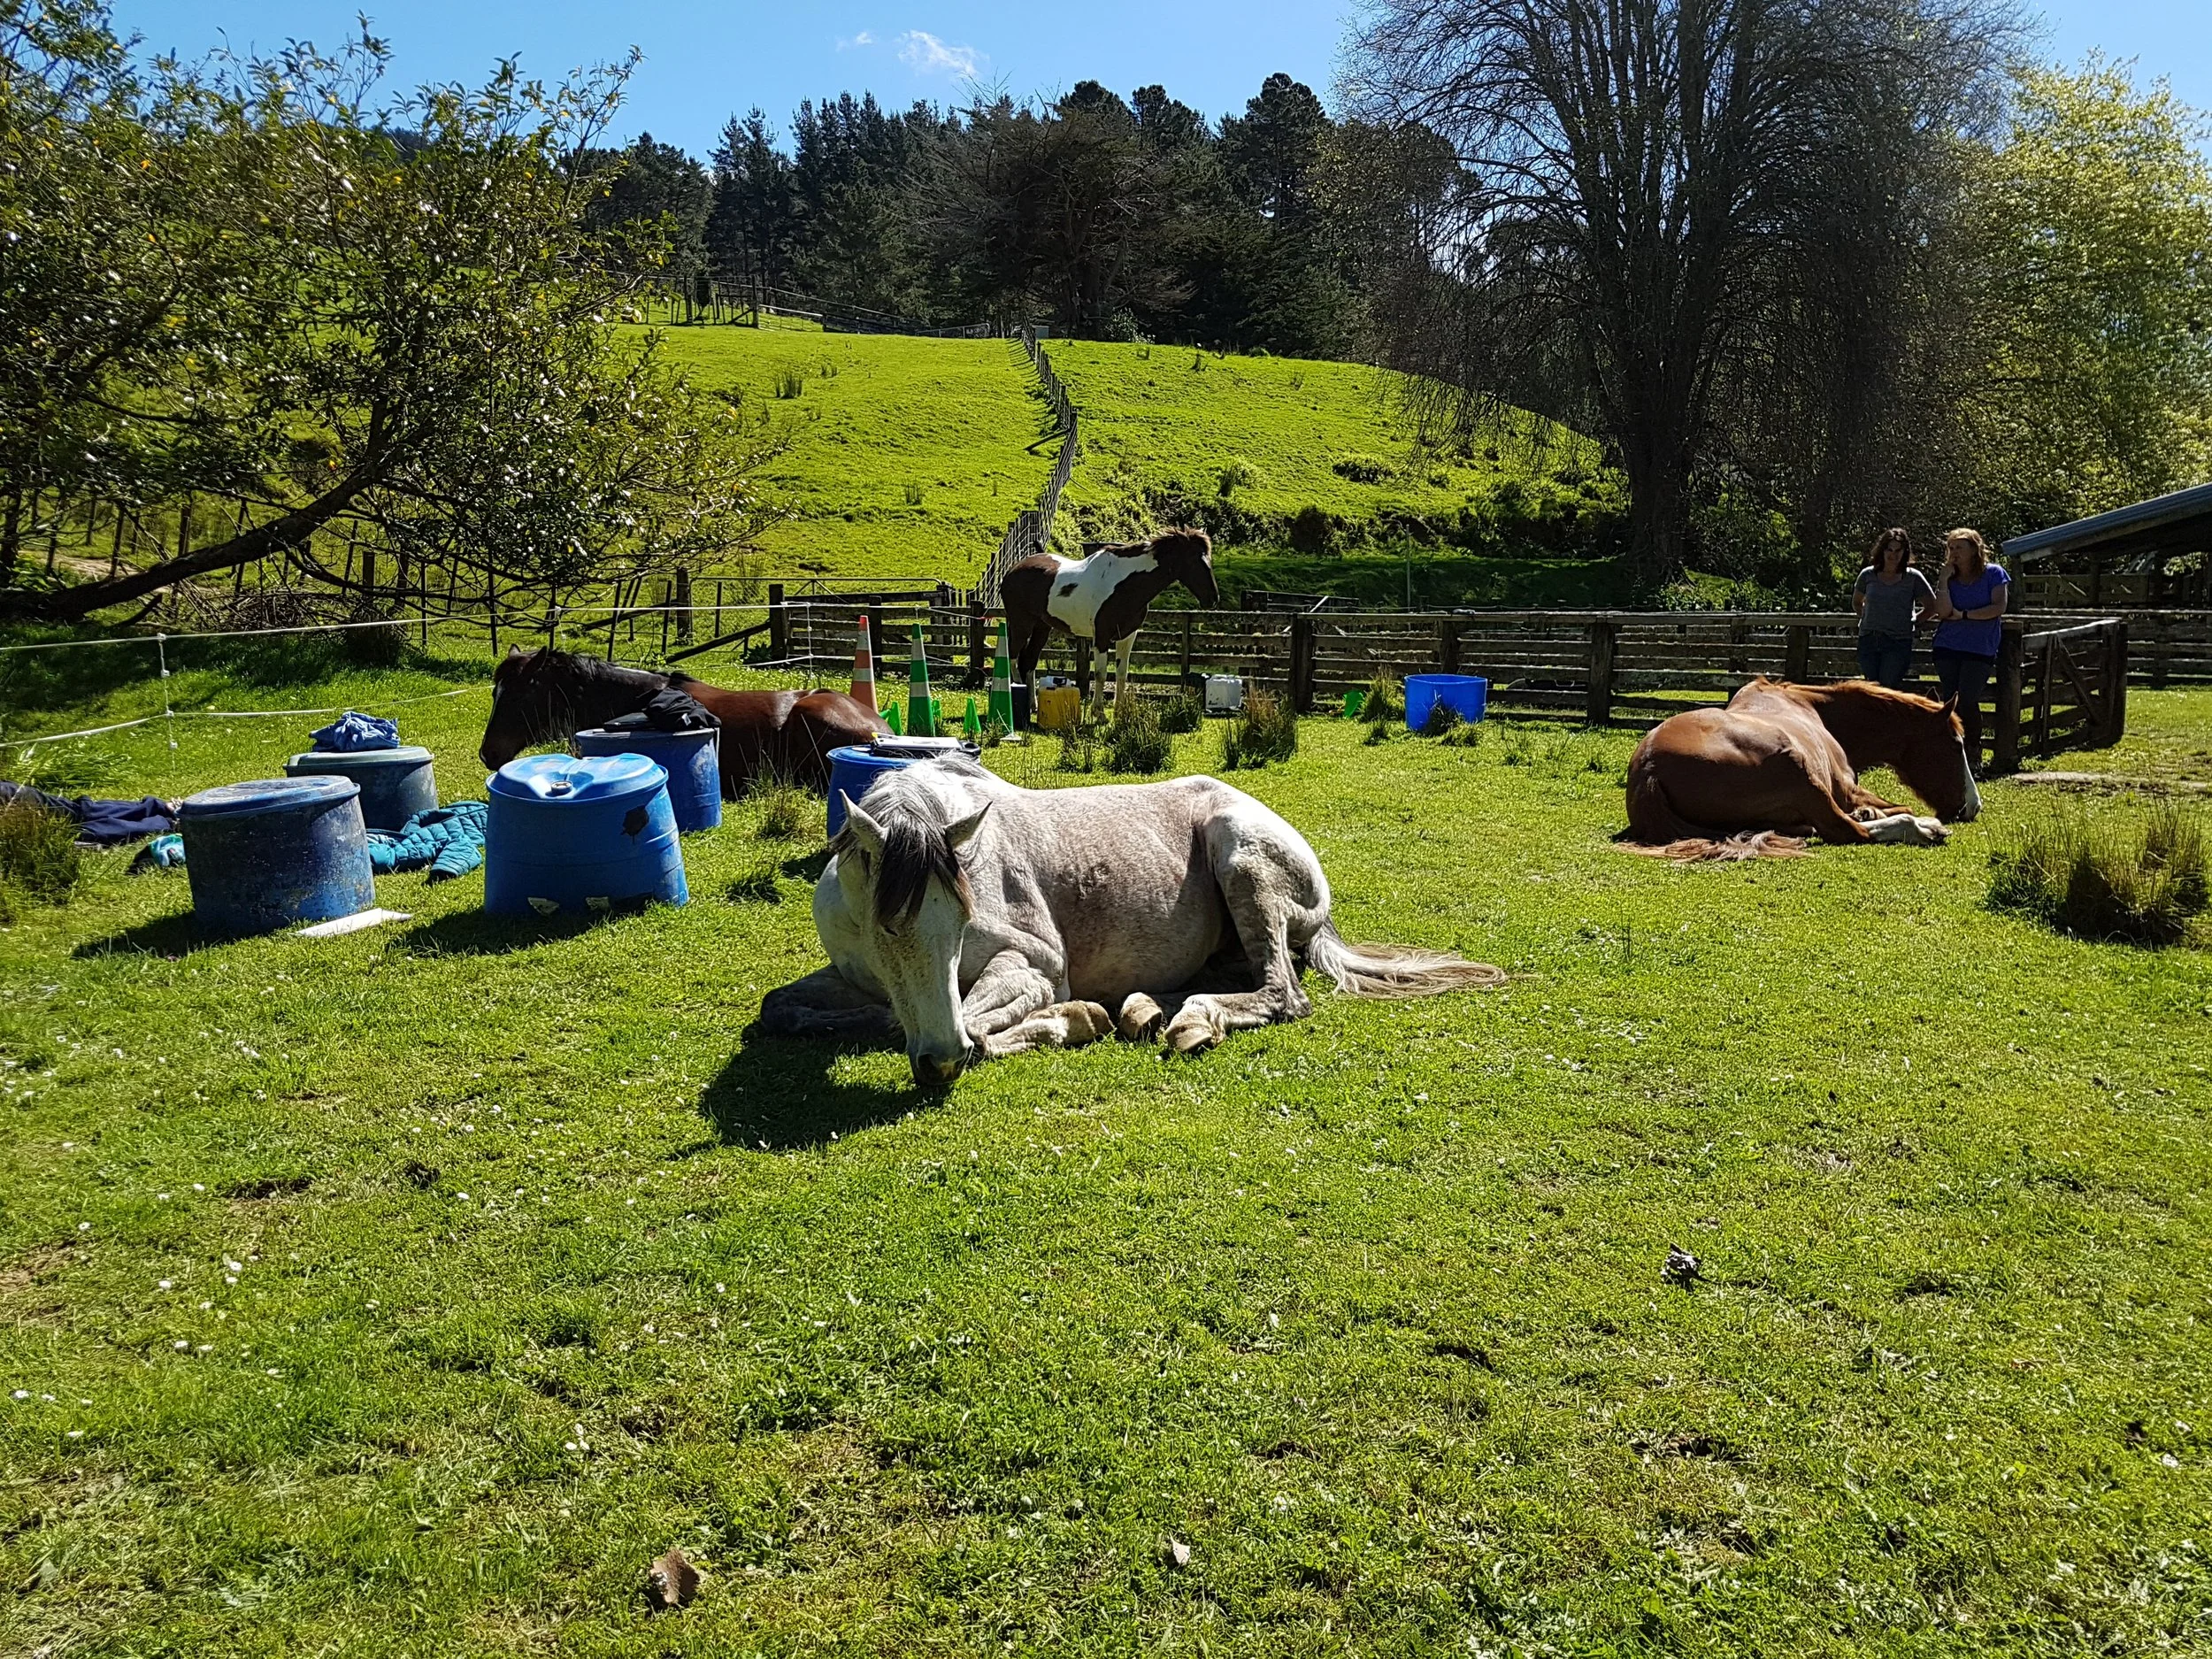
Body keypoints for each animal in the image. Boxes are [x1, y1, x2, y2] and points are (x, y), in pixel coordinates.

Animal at [757, 754, 1503, 1086]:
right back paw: (1148, 1010)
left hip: (1242, 861)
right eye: (890, 928)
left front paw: (1071, 1020)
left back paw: (1187, 1020)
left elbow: (979, 1022)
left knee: (1281, 992)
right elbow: (780, 1009)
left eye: (962, 917)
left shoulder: (1035, 965)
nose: (938, 1061)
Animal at [1000, 528, 1220, 720]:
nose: (1213, 599)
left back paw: (1033, 705)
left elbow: (1121, 674)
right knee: (1013, 658)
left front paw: (1119, 711)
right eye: (1195, 560)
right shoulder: (1102, 636)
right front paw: (1099, 713)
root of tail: (1012, 570)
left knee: (1029, 662)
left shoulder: (1128, 635)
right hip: (1021, 625)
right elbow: (1100, 674)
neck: (1125, 585)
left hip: (1042, 627)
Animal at [1621, 678, 1982, 861]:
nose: (1974, 806)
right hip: (1798, 772)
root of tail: (1649, 769)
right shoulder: (1848, 790)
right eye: (1956, 744)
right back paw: (1924, 829)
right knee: (1847, 831)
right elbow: (1897, 807)